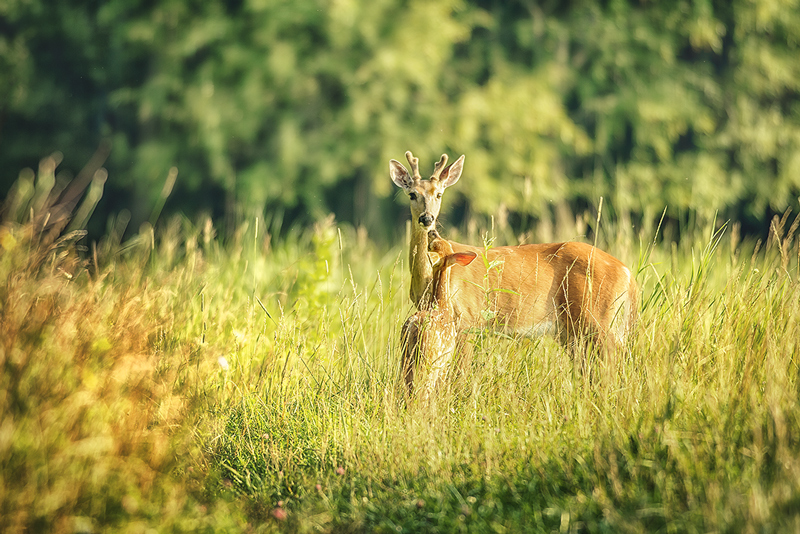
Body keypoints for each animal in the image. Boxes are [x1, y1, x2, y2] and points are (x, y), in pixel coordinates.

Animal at [390, 151, 640, 354]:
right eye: (412, 194)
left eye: (439, 194)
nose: (427, 218)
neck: (428, 281)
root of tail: (628, 274)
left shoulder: (467, 319)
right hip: (576, 331)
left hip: (598, 319)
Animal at [400, 233, 476, 402]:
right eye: (432, 244)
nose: (433, 233)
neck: (441, 305)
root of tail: (413, 327)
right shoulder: (446, 359)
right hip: (429, 359)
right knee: (423, 391)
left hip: (405, 357)